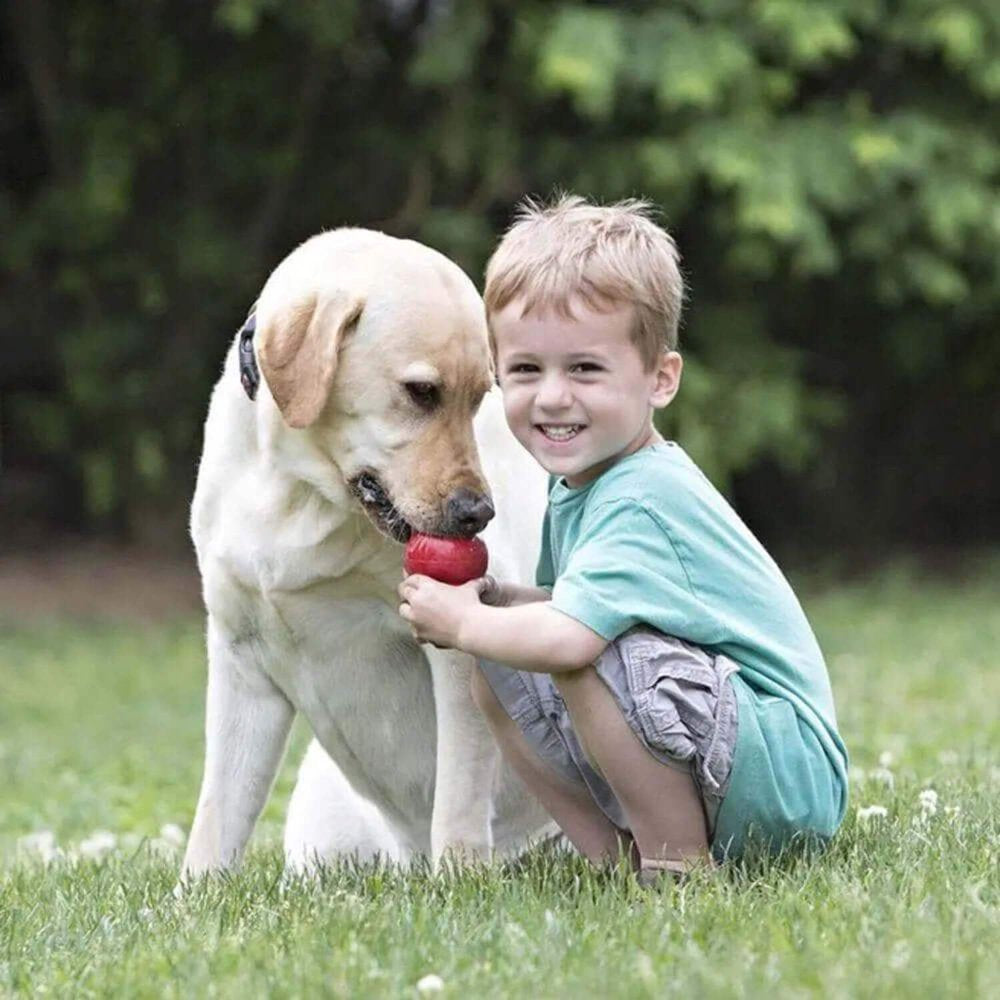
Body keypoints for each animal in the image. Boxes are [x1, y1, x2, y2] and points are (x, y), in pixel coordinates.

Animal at [181, 227, 556, 876]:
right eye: (421, 393)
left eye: (480, 398)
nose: (477, 513)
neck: (298, 490)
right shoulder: (241, 659)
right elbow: (216, 819)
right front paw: (195, 895)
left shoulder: (458, 651)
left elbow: (458, 799)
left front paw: (460, 882)